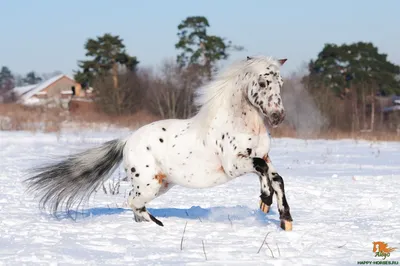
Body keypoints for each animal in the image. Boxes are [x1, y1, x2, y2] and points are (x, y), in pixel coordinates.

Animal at [25, 55, 294, 231]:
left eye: (281, 84)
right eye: (263, 83)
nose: (278, 116)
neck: (243, 124)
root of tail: (127, 140)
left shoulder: (264, 156)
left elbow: (275, 177)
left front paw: (281, 216)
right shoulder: (233, 165)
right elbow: (262, 169)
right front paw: (268, 202)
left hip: (161, 185)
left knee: (135, 205)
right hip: (148, 184)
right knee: (132, 202)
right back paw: (157, 224)